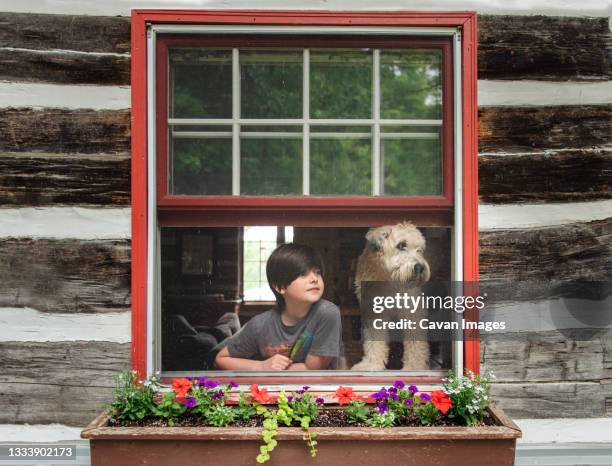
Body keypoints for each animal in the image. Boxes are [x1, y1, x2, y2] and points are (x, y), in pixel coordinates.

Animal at [352, 223, 432, 372]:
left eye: (419, 250)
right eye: (401, 245)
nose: (419, 267)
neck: (388, 279)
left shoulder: (412, 312)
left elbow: (415, 344)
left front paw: (414, 367)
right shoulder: (373, 313)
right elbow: (374, 341)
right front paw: (372, 364)